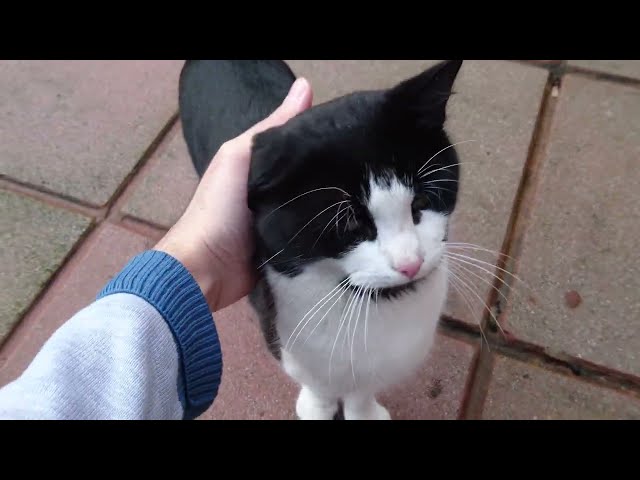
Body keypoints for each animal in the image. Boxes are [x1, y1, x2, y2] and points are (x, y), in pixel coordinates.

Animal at [178, 59, 462, 420]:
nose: (410, 263)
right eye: (349, 224)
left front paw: (364, 411)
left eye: (422, 201)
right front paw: (317, 406)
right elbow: (317, 381)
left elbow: (362, 388)